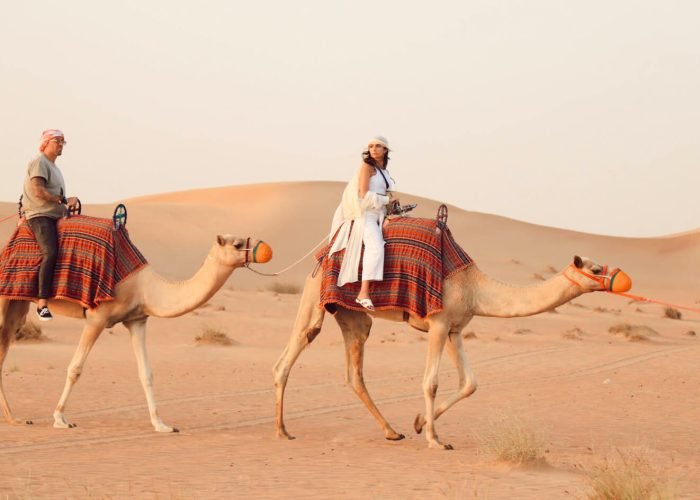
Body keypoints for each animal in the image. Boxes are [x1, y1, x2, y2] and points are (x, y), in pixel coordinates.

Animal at [0, 234, 272, 432]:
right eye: (237, 244)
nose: (265, 249)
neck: (146, 287)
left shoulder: (137, 320)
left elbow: (146, 374)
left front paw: (162, 425)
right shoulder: (97, 318)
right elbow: (75, 368)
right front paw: (60, 419)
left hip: (17, 304)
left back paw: (15, 419)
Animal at [273, 255, 630, 449]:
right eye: (594, 269)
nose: (618, 277)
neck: (476, 288)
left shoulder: (455, 329)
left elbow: (470, 383)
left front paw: (419, 423)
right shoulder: (439, 323)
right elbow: (430, 382)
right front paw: (435, 439)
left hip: (353, 316)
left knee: (354, 373)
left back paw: (392, 432)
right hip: (314, 299)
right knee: (288, 357)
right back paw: (282, 431)